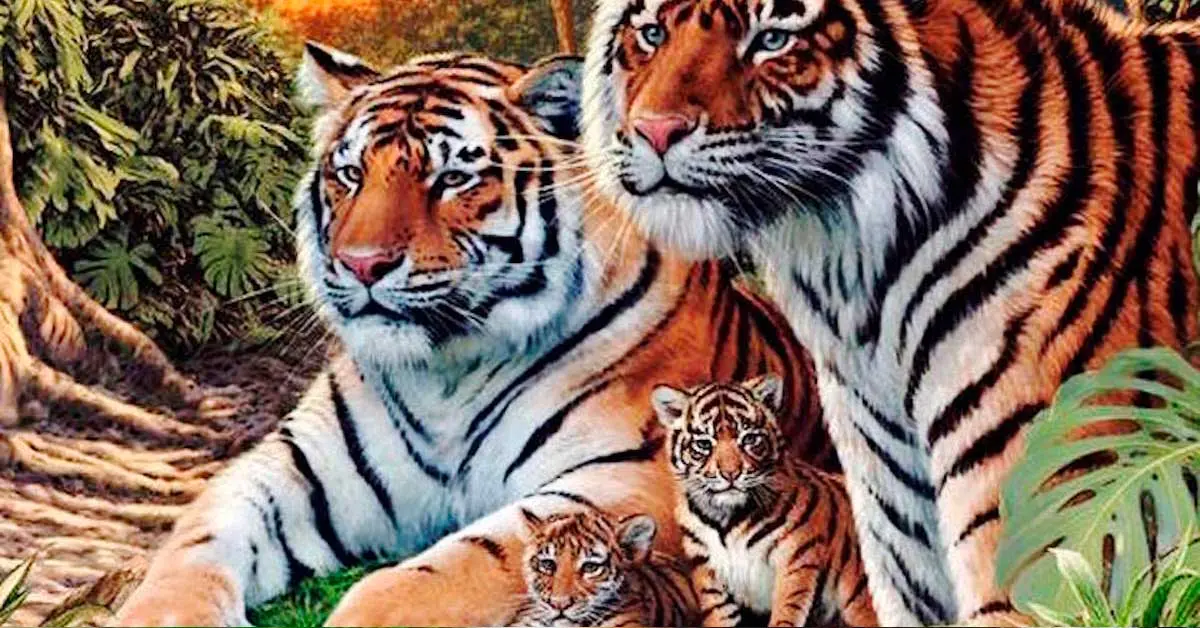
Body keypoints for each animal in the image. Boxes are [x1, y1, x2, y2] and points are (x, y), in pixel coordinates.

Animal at [653, 375, 877, 627]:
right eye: (703, 444)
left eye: (749, 439)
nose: (731, 474)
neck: (725, 519)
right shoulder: (707, 570)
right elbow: (719, 614)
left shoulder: (797, 556)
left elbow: (786, 612)